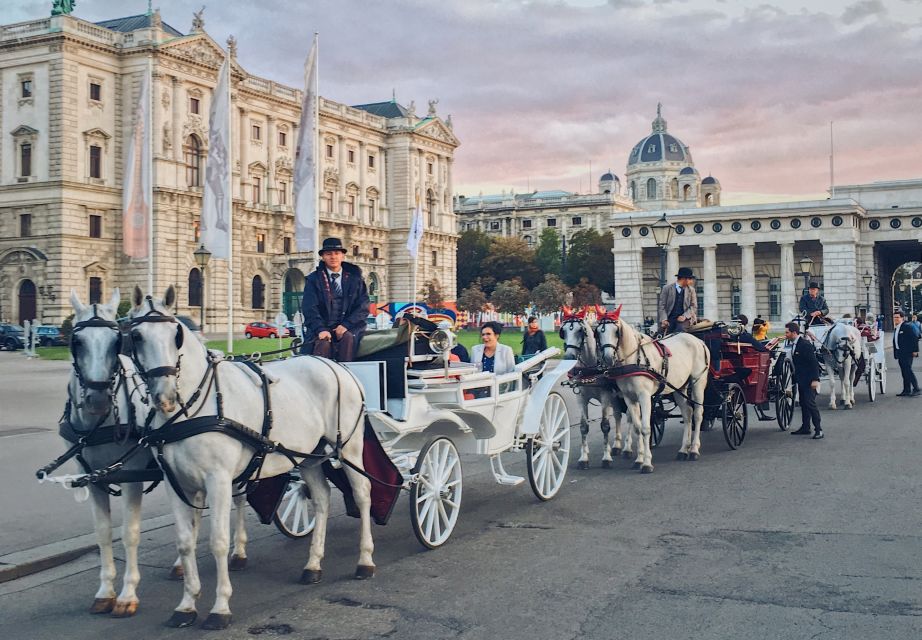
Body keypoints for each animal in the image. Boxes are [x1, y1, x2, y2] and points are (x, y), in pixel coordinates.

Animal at [126, 286, 374, 632]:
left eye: (176, 335)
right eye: (135, 336)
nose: (165, 396)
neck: (192, 408)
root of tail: (335, 364)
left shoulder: (217, 480)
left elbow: (218, 541)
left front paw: (220, 607)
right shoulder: (176, 484)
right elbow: (185, 542)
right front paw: (187, 604)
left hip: (349, 448)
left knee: (363, 494)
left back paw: (365, 560)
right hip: (309, 457)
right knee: (323, 498)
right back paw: (313, 564)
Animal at [556, 308, 620, 468]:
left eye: (580, 331)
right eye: (563, 331)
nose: (569, 357)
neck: (591, 368)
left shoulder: (605, 396)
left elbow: (605, 425)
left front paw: (606, 457)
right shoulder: (581, 398)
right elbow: (583, 426)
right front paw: (584, 458)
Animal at [592, 316, 708, 470]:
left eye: (616, 332)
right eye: (598, 332)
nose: (608, 358)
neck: (633, 360)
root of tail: (699, 341)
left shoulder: (645, 397)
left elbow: (646, 428)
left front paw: (647, 463)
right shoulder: (629, 398)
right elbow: (637, 428)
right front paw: (639, 460)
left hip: (698, 383)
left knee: (698, 414)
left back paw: (694, 449)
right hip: (680, 387)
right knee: (688, 414)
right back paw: (684, 450)